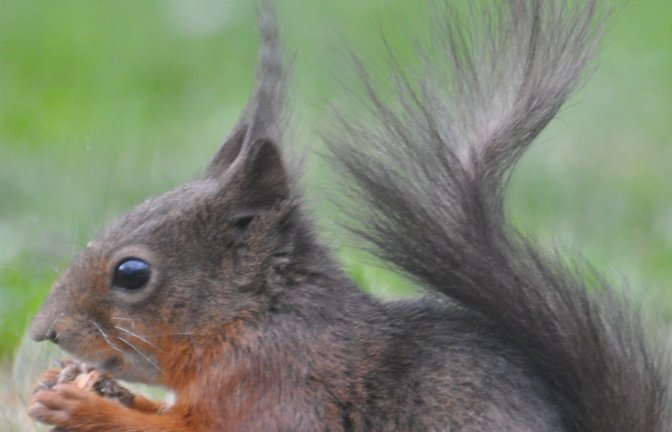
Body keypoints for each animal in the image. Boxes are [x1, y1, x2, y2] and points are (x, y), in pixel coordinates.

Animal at [26, 0, 671, 431]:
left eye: (132, 273)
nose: (44, 333)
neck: (257, 320)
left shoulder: (281, 387)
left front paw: (79, 404)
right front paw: (72, 387)